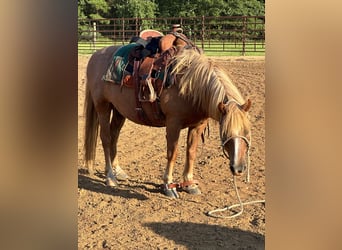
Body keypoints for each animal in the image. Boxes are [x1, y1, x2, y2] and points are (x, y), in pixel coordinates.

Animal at [83, 45, 251, 198]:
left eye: (247, 132)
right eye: (225, 133)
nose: (238, 168)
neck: (189, 85)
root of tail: (95, 55)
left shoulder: (197, 126)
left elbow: (191, 152)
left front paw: (189, 184)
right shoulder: (173, 124)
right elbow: (172, 153)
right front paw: (168, 185)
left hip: (119, 110)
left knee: (114, 137)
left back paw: (118, 171)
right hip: (103, 107)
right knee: (106, 139)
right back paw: (110, 177)